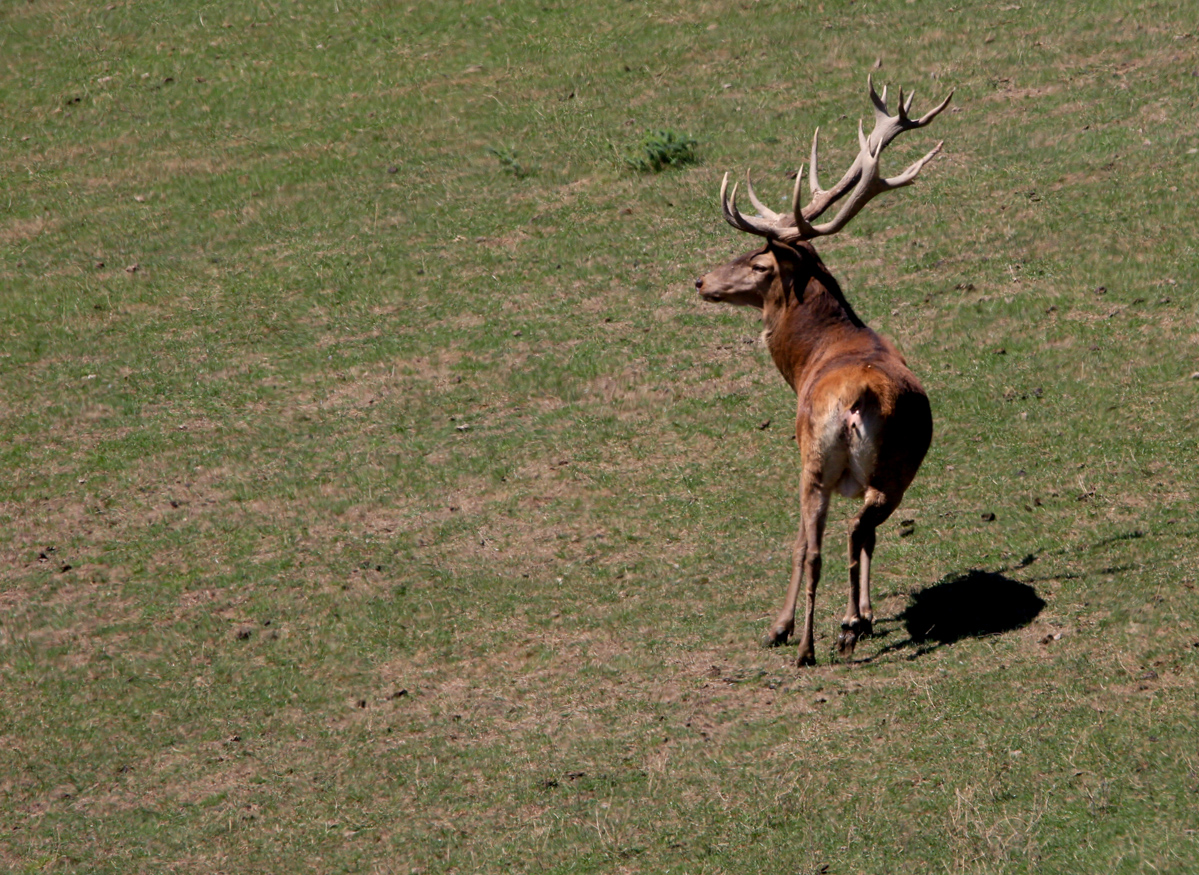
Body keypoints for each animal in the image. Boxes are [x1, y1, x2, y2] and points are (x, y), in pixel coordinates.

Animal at [690, 76, 949, 661]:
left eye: (758, 264)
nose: (701, 281)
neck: (810, 357)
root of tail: (861, 400)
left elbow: (797, 543)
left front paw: (779, 626)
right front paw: (868, 614)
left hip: (815, 461)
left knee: (818, 545)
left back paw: (809, 643)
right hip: (898, 468)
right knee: (865, 528)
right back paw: (852, 623)